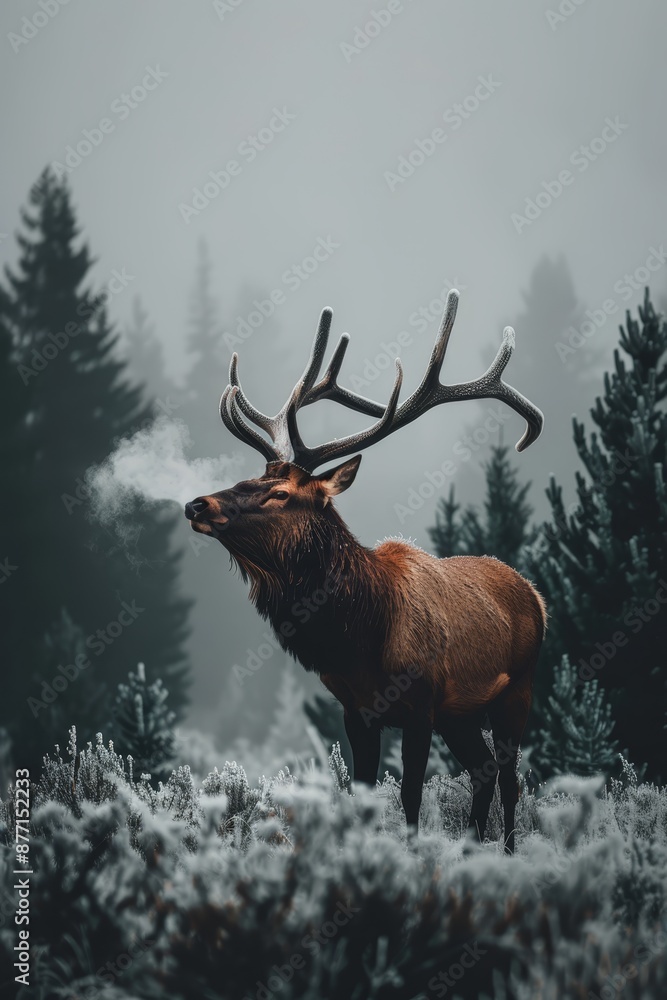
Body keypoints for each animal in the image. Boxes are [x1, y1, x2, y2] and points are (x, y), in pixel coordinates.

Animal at [185, 288, 546, 853]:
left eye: (280, 493)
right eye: (250, 477)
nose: (198, 504)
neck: (362, 637)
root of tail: (536, 595)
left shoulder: (420, 706)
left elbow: (412, 800)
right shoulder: (356, 711)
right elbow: (362, 798)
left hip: (518, 687)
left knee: (509, 778)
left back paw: (506, 852)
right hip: (462, 711)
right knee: (483, 771)